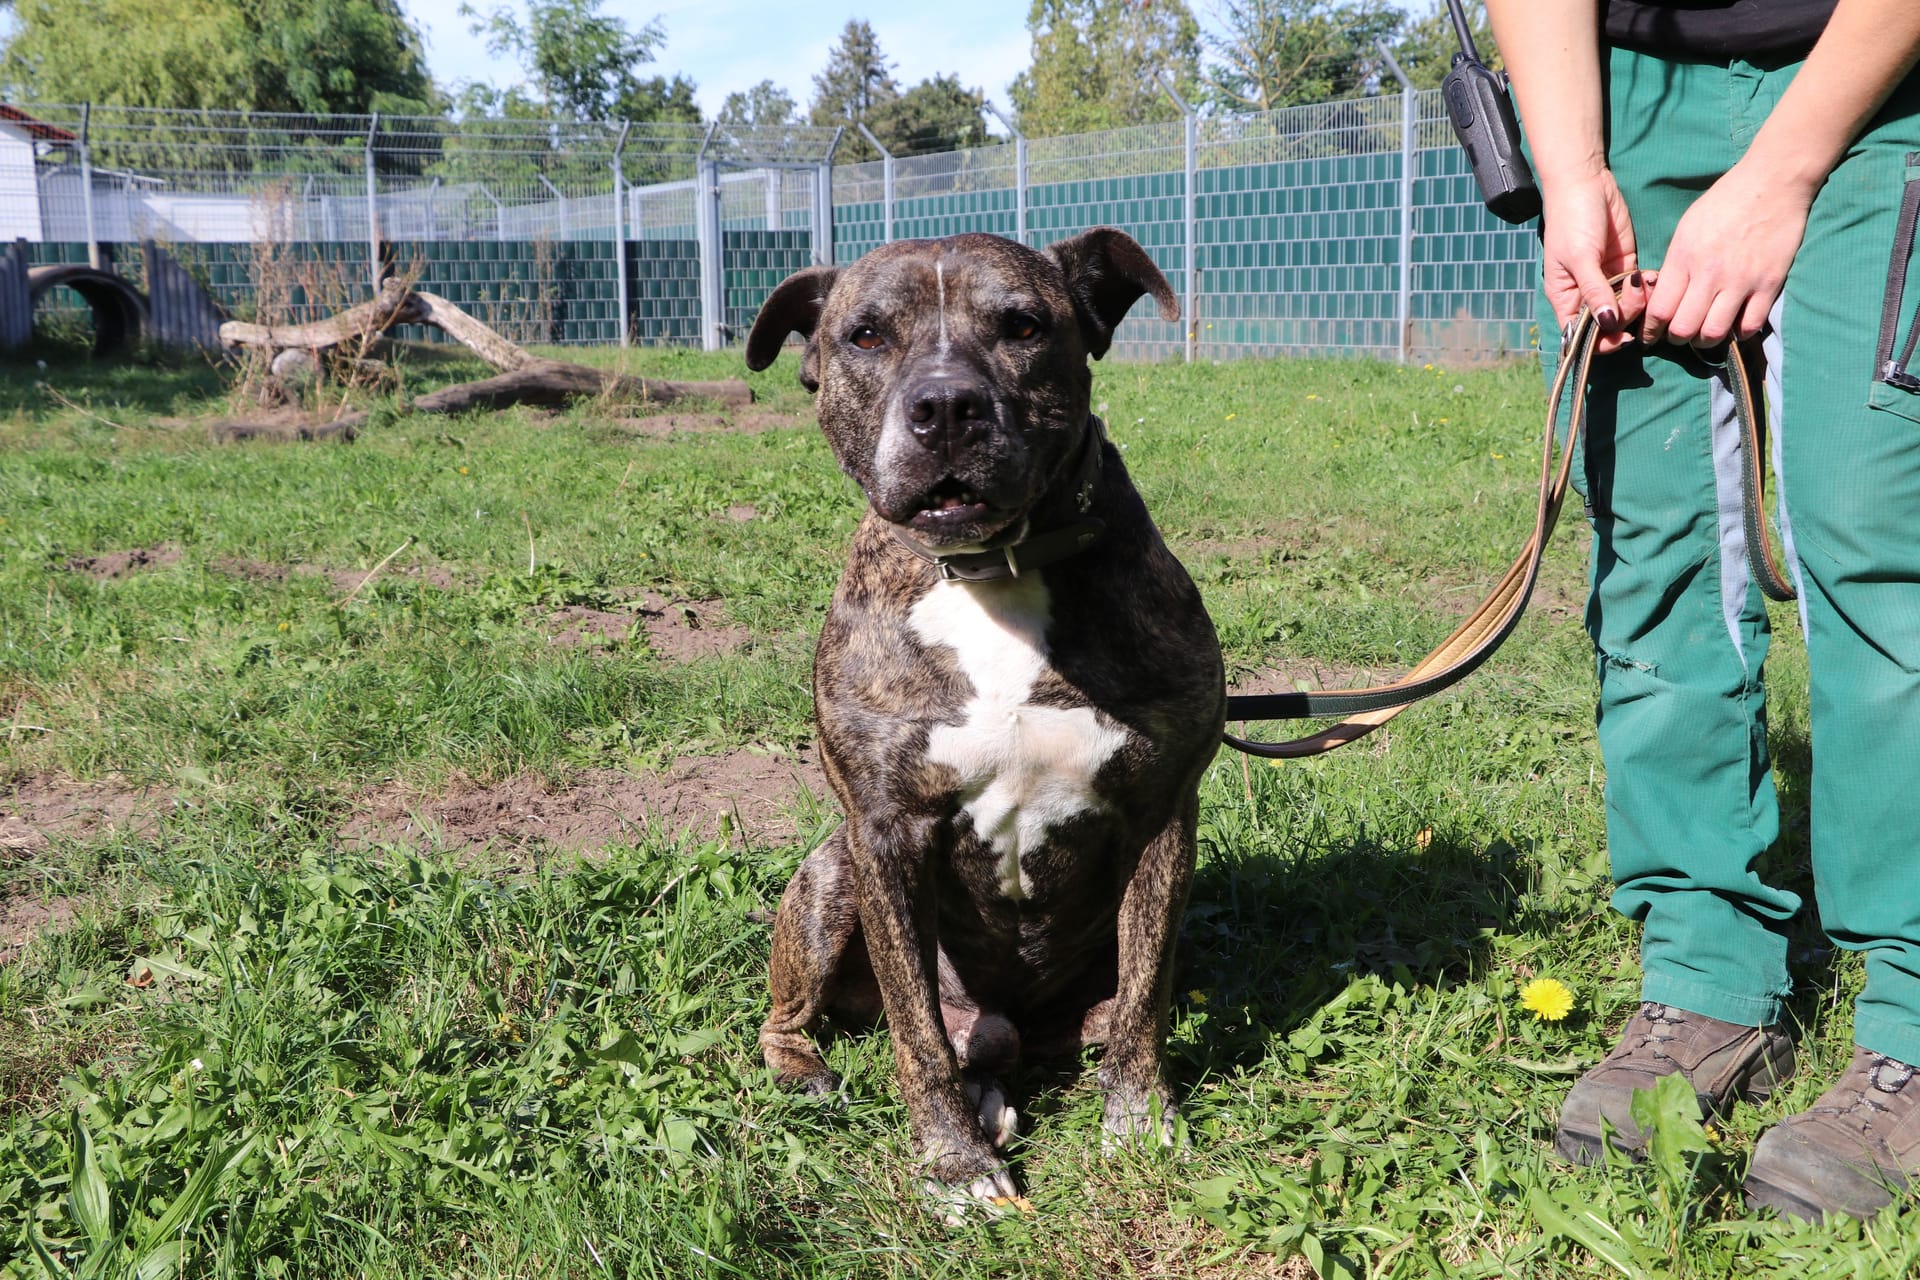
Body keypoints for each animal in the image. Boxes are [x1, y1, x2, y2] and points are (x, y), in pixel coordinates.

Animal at [741, 230, 1221, 1220]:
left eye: (1023, 326)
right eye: (865, 334)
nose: (945, 407)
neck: (992, 570)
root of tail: (1008, 1032)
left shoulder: (1162, 813)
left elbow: (1147, 993)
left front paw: (1139, 1123)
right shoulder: (884, 831)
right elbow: (915, 1033)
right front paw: (954, 1166)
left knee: (1064, 1031)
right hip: (831, 875)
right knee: (813, 1020)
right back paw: (822, 1074)